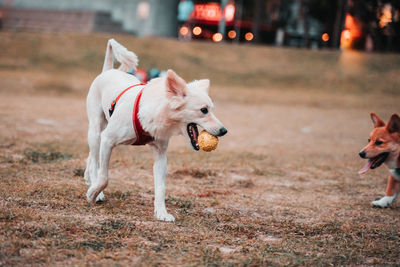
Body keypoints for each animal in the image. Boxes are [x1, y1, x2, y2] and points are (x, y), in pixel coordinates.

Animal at [83, 39, 228, 222]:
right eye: (204, 110)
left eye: (211, 109)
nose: (224, 131)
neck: (157, 115)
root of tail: (108, 71)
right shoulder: (108, 139)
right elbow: (104, 177)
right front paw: (93, 194)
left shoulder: (160, 155)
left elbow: (161, 187)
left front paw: (162, 213)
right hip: (96, 131)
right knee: (95, 161)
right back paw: (95, 189)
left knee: (91, 158)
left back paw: (88, 178)